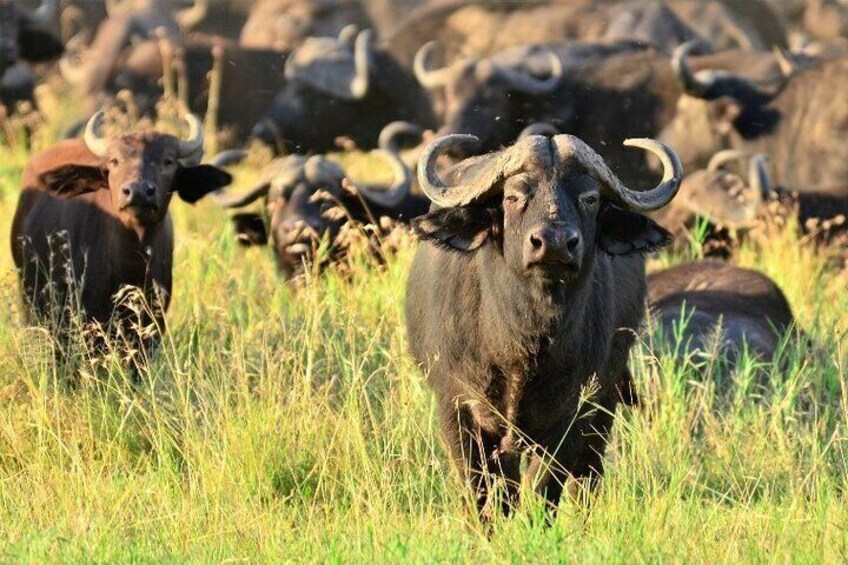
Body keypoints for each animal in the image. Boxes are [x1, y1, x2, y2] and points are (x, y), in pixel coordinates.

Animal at [405, 132, 682, 516]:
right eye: (513, 196)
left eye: (590, 198)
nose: (554, 243)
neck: (523, 343)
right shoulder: (457, 408)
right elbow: (482, 491)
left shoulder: (572, 414)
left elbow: (544, 490)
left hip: (606, 400)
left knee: (586, 478)